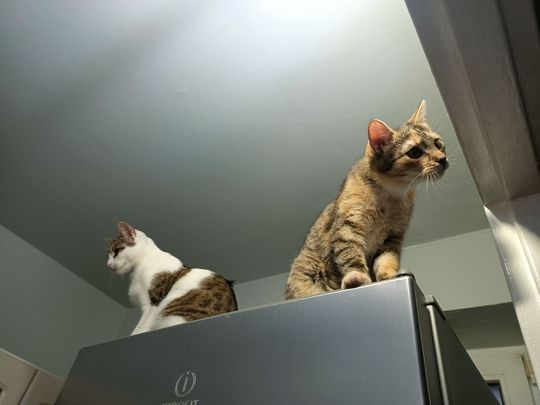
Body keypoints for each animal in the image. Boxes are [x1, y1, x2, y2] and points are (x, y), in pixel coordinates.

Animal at [107, 222, 237, 335]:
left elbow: (140, 328)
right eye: (108, 254)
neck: (143, 262)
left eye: (116, 251)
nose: (107, 264)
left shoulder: (153, 301)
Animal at [285, 100, 448, 299]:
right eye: (415, 152)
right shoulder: (348, 227)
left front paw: (390, 275)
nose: (443, 159)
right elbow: (350, 254)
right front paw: (357, 276)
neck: (391, 196)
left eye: (438, 143)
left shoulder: (392, 238)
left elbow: (387, 260)